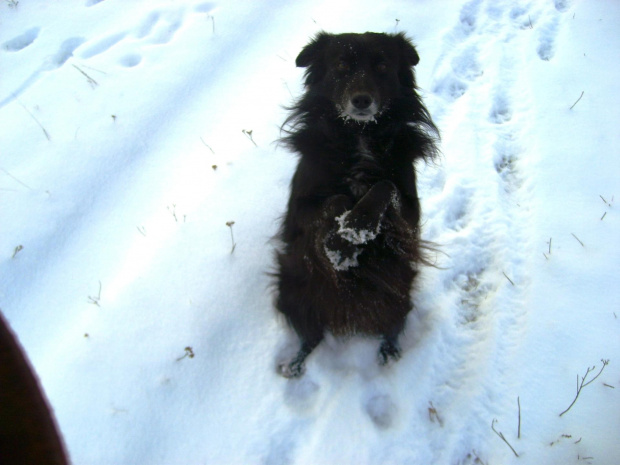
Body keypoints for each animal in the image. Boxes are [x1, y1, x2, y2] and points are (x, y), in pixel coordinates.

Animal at [274, 30, 438, 376]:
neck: (359, 136)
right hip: (291, 288)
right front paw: (341, 246)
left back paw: (388, 353)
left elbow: (385, 186)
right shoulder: (300, 208)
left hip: (401, 288)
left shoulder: (409, 213)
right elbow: (333, 200)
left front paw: (357, 228)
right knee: (310, 337)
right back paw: (294, 365)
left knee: (392, 325)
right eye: (340, 65)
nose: (361, 100)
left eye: (382, 66)